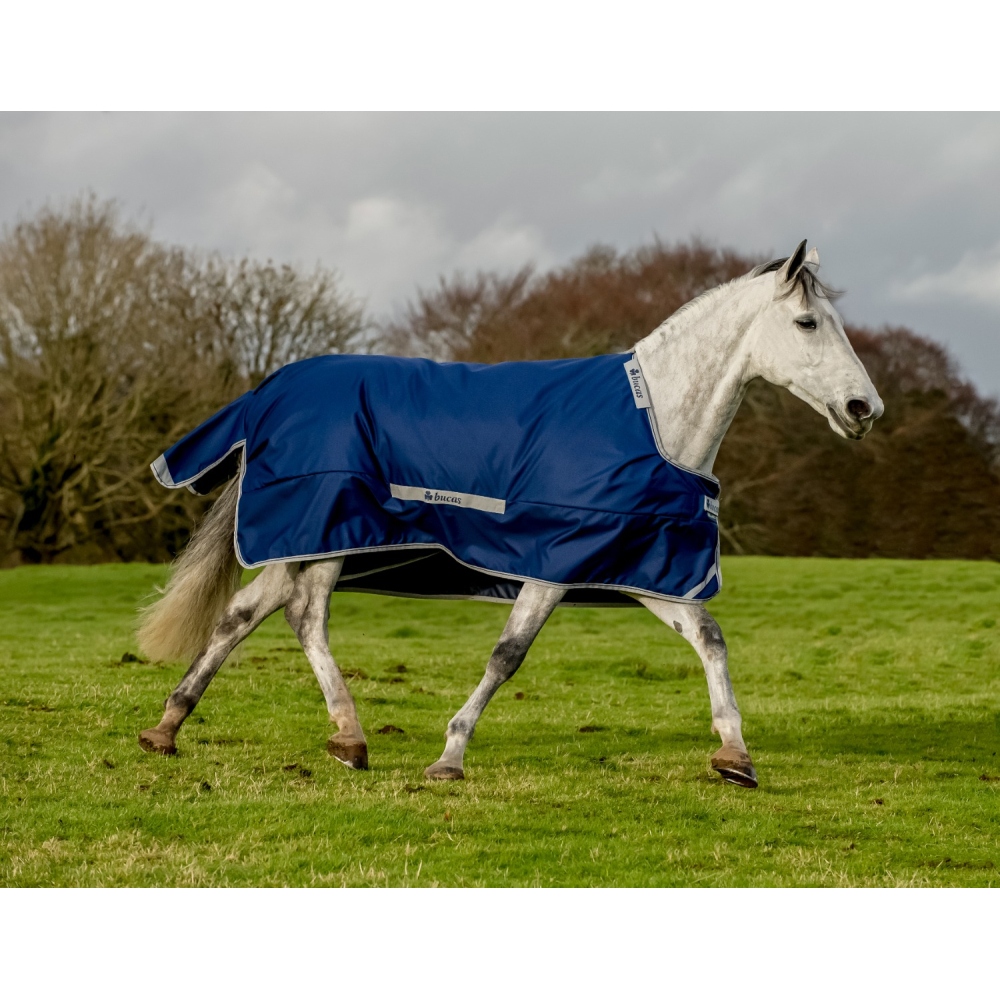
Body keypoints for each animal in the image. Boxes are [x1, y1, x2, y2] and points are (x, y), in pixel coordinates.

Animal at [136, 239, 882, 788]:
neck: (652, 419)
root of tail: (270, 391)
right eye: (808, 322)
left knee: (243, 612)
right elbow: (507, 656)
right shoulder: (552, 565)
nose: (864, 409)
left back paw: (167, 728)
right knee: (304, 617)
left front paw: (734, 756)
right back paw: (348, 737)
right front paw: (449, 757)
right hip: (328, 537)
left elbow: (709, 638)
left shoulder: (633, 566)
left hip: (316, 541)